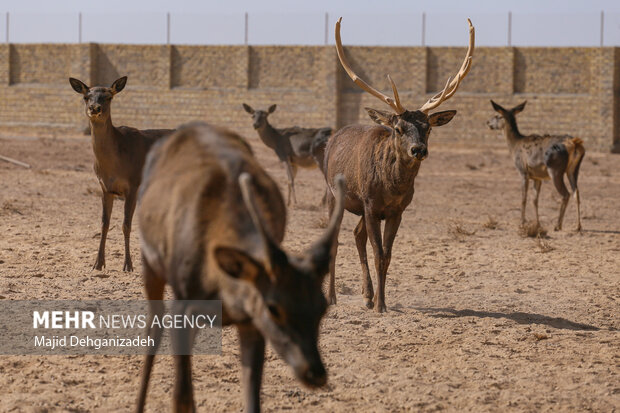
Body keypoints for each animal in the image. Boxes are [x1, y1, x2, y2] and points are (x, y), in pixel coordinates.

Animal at [68, 76, 173, 272]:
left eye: (108, 97)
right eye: (86, 96)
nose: (94, 108)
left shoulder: (133, 185)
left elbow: (126, 225)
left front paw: (128, 265)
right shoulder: (105, 188)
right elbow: (104, 224)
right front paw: (98, 264)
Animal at [136, 121, 346, 412]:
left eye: (322, 307)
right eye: (273, 307)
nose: (315, 373)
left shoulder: (250, 319)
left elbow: (252, 400)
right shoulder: (183, 302)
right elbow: (181, 397)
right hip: (150, 261)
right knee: (154, 324)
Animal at [320, 17, 474, 310]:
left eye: (428, 128)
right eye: (399, 128)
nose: (419, 149)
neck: (392, 187)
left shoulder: (396, 211)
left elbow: (387, 255)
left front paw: (381, 301)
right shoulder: (370, 205)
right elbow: (377, 252)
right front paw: (380, 305)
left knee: (356, 234)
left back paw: (366, 295)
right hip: (334, 195)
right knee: (334, 241)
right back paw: (332, 297)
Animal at [486, 98, 584, 230]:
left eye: (497, 115)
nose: (487, 122)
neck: (514, 146)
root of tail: (574, 143)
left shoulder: (523, 171)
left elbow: (524, 198)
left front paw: (522, 222)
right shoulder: (538, 177)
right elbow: (535, 199)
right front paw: (537, 223)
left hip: (555, 170)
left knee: (565, 194)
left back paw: (558, 225)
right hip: (573, 169)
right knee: (576, 192)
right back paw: (578, 226)